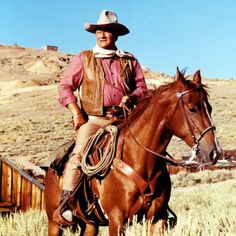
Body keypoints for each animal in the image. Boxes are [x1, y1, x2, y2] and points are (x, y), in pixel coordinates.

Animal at [44, 67, 221, 235]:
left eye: (210, 108)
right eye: (192, 109)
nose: (214, 152)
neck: (140, 160)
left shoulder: (157, 218)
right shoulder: (116, 220)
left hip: (90, 224)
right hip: (54, 223)